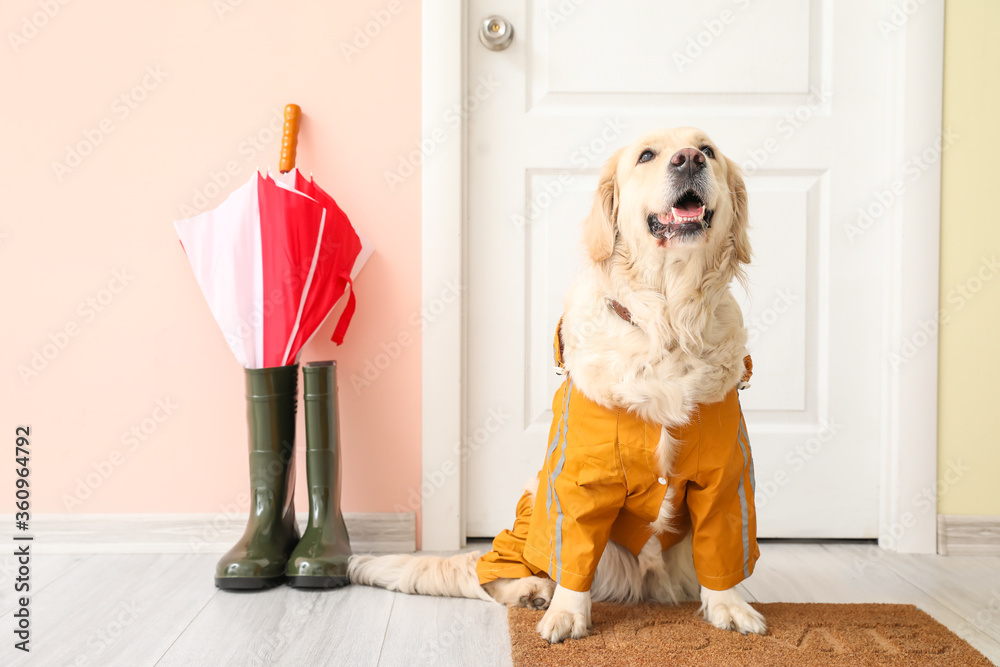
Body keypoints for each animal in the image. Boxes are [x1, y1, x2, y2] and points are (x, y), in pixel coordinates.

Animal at [350, 128, 764, 644]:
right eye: (646, 155)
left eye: (707, 150)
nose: (688, 159)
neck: (668, 323)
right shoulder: (577, 478)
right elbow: (572, 554)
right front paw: (566, 615)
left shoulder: (725, 476)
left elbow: (723, 543)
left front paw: (730, 607)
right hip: (531, 507)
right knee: (494, 574)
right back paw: (532, 591)